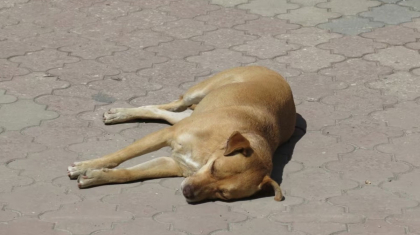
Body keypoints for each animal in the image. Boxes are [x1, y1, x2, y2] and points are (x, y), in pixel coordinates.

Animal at [67, 65, 296, 202]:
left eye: (222, 193)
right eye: (215, 168)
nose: (188, 192)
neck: (210, 151)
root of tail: (271, 69)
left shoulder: (173, 164)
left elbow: (130, 173)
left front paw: (96, 176)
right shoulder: (166, 135)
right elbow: (119, 156)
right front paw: (86, 165)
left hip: (189, 112)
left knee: (163, 111)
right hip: (197, 93)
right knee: (170, 104)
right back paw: (121, 113)